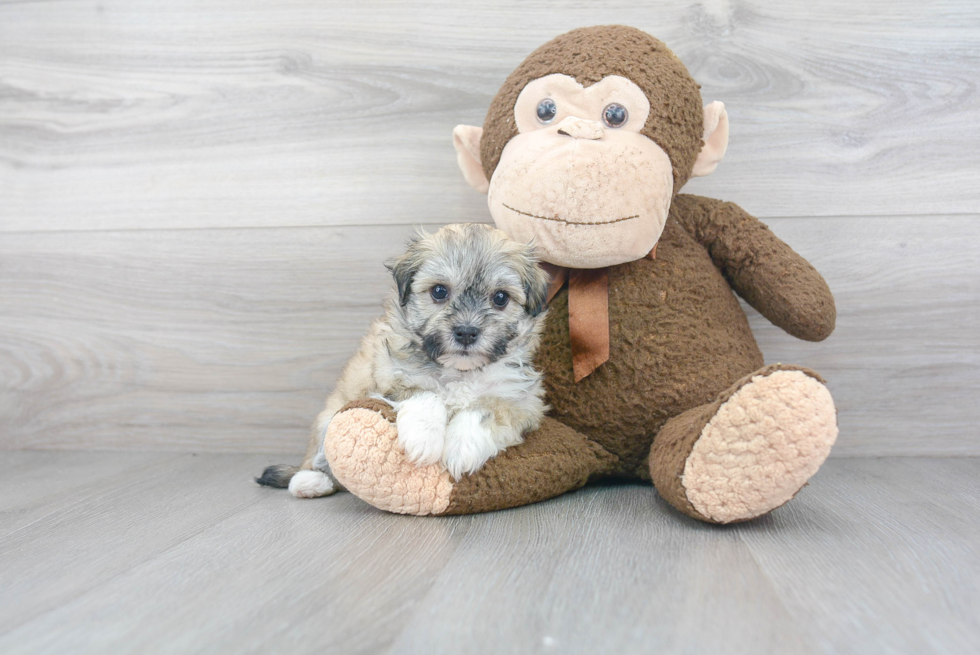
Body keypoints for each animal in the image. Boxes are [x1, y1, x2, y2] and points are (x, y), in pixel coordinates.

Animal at [256, 223, 552, 500]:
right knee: (321, 460)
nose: (466, 332)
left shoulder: (521, 401)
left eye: (500, 297)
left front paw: (462, 448)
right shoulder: (389, 376)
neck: (459, 371)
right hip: (328, 418)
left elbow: (485, 409)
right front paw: (424, 439)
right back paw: (310, 481)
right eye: (439, 291)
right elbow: (426, 394)